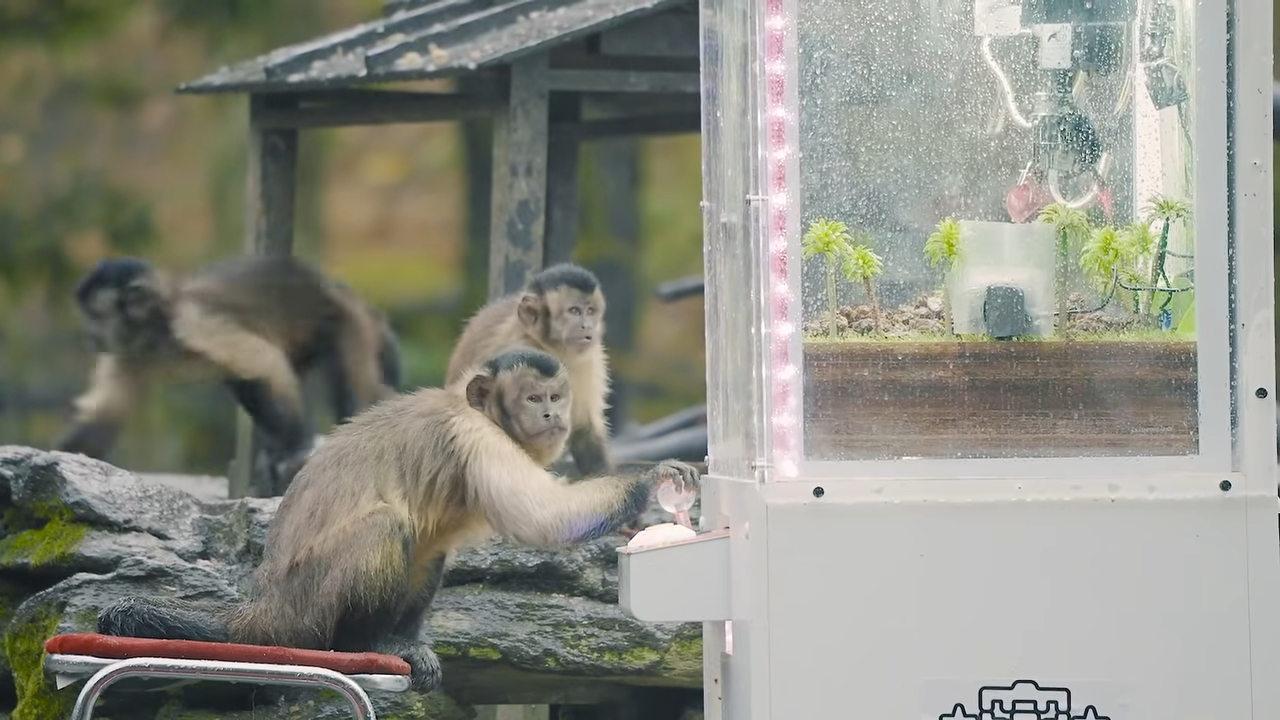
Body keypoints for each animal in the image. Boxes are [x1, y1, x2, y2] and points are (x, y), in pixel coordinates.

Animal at [55, 254, 401, 484]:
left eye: (95, 316)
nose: (89, 335)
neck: (157, 336)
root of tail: (332, 288)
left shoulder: (194, 326)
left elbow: (266, 361)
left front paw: (295, 448)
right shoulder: (127, 356)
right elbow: (104, 414)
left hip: (347, 322)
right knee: (246, 383)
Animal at [97, 348, 701, 691]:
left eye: (555, 396)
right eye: (534, 398)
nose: (553, 413)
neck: (477, 411)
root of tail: (262, 611)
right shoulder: (474, 436)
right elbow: (543, 519)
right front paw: (653, 480)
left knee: (429, 551)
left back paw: (399, 641)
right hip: (304, 609)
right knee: (387, 528)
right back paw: (365, 645)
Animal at [445, 263, 614, 476]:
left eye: (590, 311)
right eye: (574, 311)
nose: (587, 326)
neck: (552, 348)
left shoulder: (589, 358)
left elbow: (585, 429)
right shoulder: (518, 345)